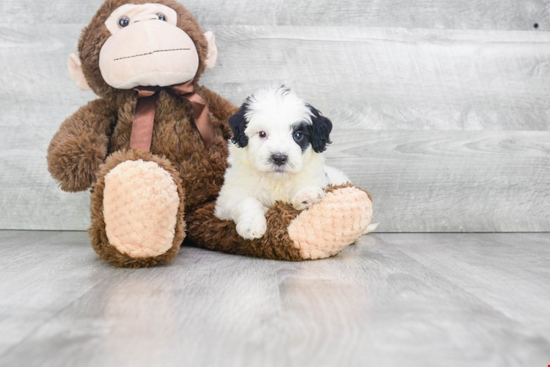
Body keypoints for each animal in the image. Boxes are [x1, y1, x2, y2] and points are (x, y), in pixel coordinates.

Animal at [215, 86, 350, 242]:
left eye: (298, 135)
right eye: (262, 134)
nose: (279, 158)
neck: (276, 180)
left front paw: (307, 195)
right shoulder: (227, 200)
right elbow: (246, 201)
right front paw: (251, 225)